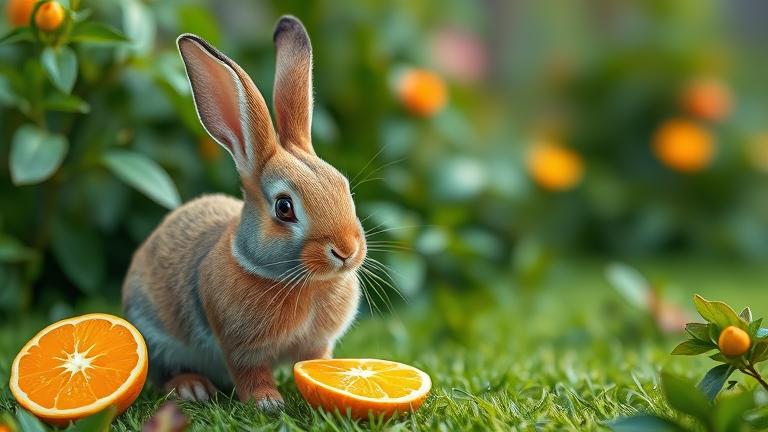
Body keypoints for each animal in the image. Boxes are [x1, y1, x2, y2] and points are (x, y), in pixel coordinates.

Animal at [121, 16, 365, 410]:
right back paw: (192, 388)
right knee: (164, 372)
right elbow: (250, 372)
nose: (346, 251)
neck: (299, 282)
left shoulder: (317, 344)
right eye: (284, 208)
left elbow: (316, 362)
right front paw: (268, 402)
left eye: (344, 188)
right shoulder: (241, 348)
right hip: (155, 335)